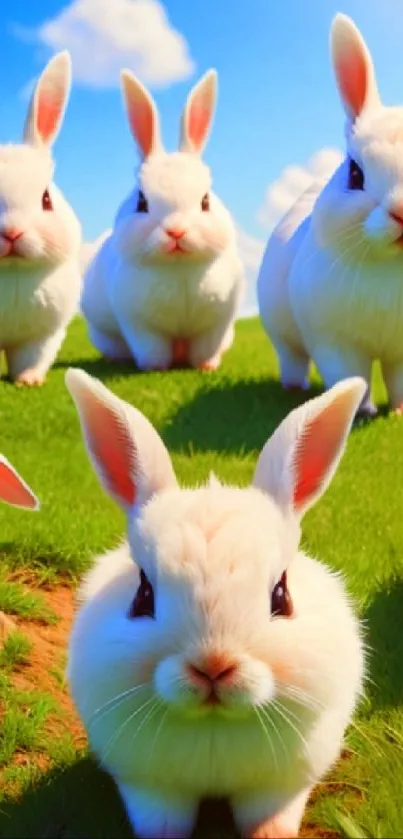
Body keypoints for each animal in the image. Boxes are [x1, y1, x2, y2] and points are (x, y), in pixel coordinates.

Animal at [65, 370, 366, 839]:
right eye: (143, 596)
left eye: (281, 597)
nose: (213, 665)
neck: (213, 726)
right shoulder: (149, 787)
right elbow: (161, 823)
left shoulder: (280, 787)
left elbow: (272, 819)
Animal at [82, 65, 245, 368]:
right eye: (142, 202)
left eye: (205, 201)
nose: (176, 231)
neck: (177, 267)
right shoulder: (140, 325)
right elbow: (152, 349)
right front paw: (154, 368)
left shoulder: (215, 325)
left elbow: (206, 349)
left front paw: (206, 367)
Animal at [258, 13, 403, 420]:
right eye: (355, 173)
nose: (401, 211)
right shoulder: (335, 343)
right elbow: (353, 379)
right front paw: (361, 413)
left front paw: (399, 412)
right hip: (283, 337)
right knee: (292, 359)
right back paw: (295, 388)